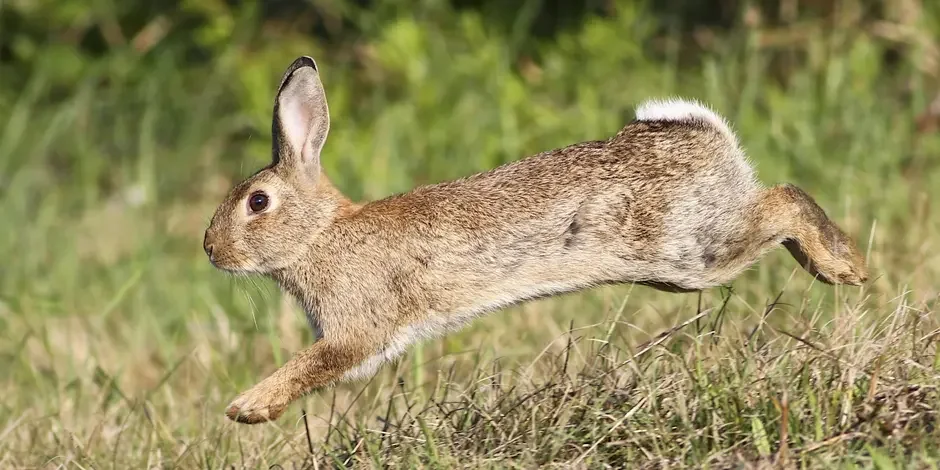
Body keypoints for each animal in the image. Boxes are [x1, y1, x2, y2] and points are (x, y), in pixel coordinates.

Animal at [203, 56, 869, 424]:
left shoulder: (357, 327)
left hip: (691, 250)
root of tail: (704, 135)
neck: (320, 234)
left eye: (257, 203)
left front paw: (247, 408)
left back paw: (845, 267)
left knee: (783, 200)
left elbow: (313, 364)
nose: (211, 250)